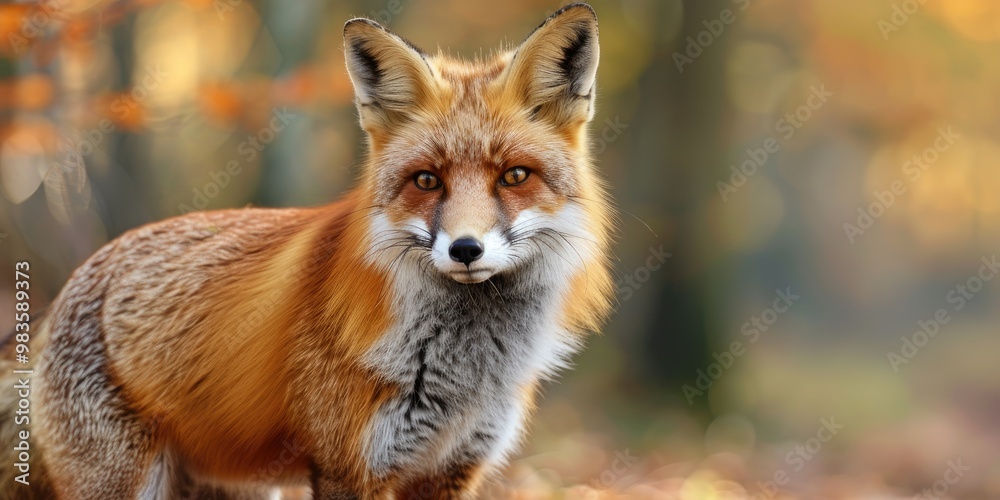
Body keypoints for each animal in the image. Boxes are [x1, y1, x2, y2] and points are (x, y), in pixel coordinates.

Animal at [1, 4, 612, 499]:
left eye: (514, 176)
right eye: (426, 181)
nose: (465, 249)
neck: (466, 371)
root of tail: (67, 292)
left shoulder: (450, 471)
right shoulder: (348, 468)